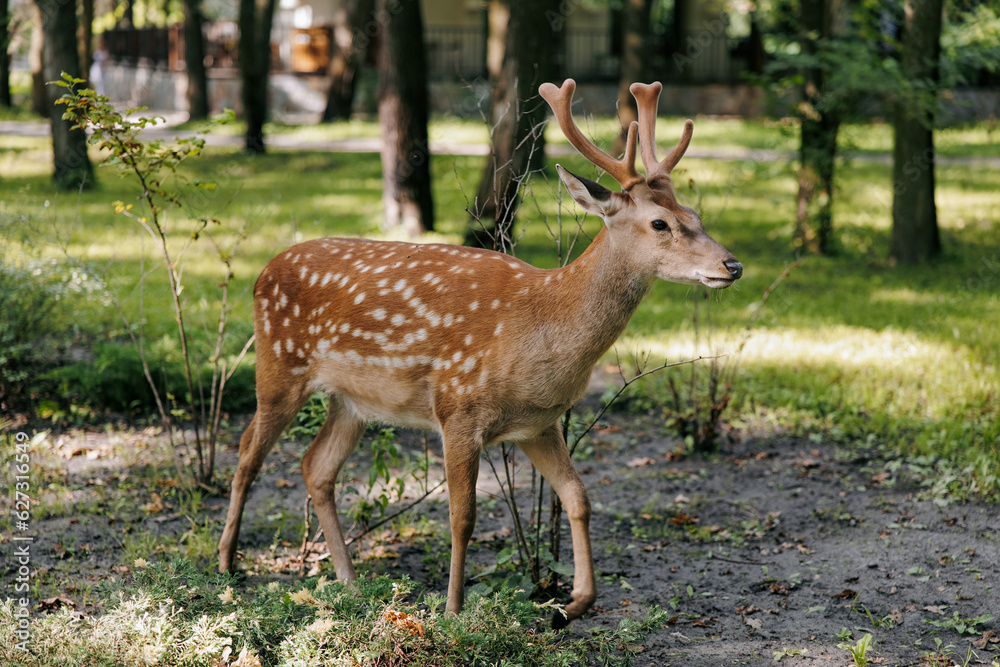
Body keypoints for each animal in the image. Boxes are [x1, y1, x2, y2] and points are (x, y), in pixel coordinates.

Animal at [219, 78, 748, 628]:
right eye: (661, 223)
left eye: (696, 216)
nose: (732, 265)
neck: (540, 330)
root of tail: (263, 272)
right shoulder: (458, 406)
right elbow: (463, 516)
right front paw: (453, 611)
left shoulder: (537, 422)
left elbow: (578, 496)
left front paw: (574, 603)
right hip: (279, 365)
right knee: (247, 450)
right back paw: (228, 565)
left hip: (351, 401)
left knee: (315, 466)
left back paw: (349, 582)